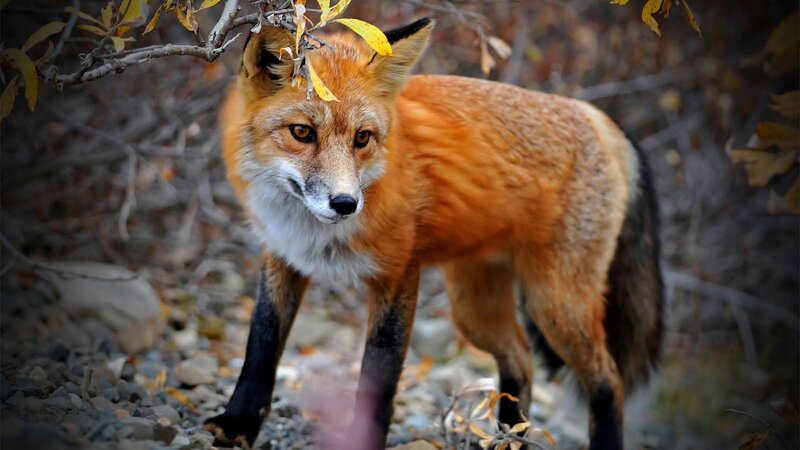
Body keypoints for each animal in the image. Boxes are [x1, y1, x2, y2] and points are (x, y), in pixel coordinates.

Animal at [203, 17, 664, 450]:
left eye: (362, 138)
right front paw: (237, 423)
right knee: (521, 359)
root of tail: (596, 116)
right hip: (475, 310)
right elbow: (261, 345)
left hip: (555, 306)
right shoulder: (283, 257)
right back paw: (509, 438)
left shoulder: (399, 272)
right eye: (302, 132)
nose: (346, 204)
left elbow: (379, 377)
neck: (307, 230)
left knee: (607, 380)